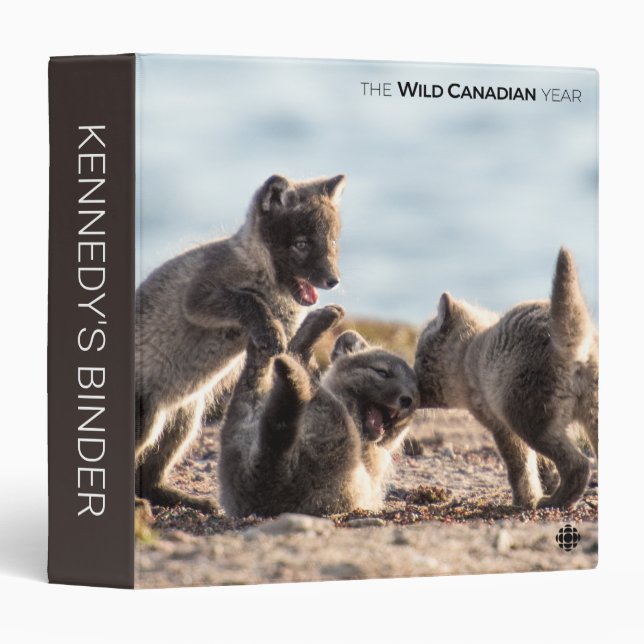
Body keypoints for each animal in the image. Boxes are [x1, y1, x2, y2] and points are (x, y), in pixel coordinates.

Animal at [136, 174, 346, 512]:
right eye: (301, 244)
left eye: (333, 243)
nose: (333, 280)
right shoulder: (197, 298)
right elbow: (247, 299)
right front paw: (268, 327)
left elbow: (293, 343)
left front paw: (316, 322)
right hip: (149, 419)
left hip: (184, 420)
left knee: (149, 479)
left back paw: (181, 499)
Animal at [219, 305, 420, 517]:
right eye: (382, 372)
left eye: (416, 391)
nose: (407, 400)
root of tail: (263, 476)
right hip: (240, 427)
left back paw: (292, 363)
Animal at [414, 248, 598, 509]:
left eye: (420, 358)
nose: (411, 386)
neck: (471, 353)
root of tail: (573, 347)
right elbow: (541, 467)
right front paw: (541, 487)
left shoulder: (500, 424)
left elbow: (519, 467)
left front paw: (525, 499)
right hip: (592, 414)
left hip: (529, 418)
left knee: (578, 465)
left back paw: (554, 501)